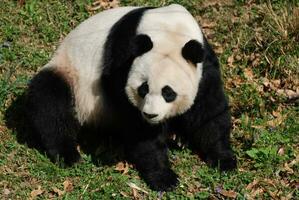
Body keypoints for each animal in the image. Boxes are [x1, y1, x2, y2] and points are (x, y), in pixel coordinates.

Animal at [25, 4, 237, 191]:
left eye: (168, 92)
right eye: (143, 89)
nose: (150, 115)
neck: (170, 29)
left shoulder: (205, 66)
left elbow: (210, 111)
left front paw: (224, 160)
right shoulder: (121, 60)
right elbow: (137, 124)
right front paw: (164, 177)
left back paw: (179, 137)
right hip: (71, 75)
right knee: (49, 101)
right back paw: (68, 154)